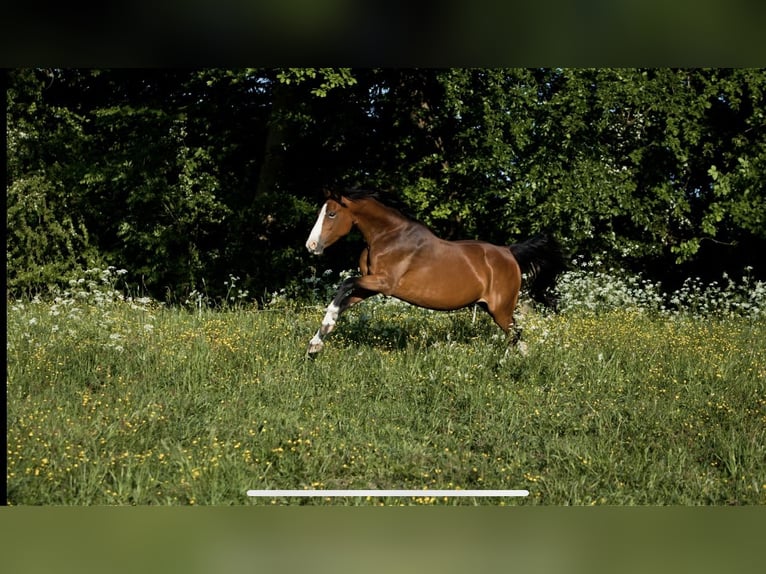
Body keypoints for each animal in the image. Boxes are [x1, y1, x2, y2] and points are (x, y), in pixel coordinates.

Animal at [304, 189, 565, 355]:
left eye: (332, 214)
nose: (311, 246)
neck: (388, 237)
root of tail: (510, 252)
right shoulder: (372, 287)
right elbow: (344, 301)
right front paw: (316, 342)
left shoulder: (384, 283)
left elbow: (346, 283)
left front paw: (324, 328)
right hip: (495, 309)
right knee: (517, 336)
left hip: (501, 309)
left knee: (515, 335)